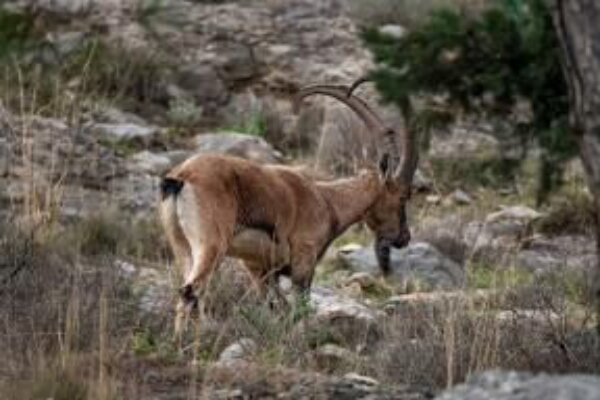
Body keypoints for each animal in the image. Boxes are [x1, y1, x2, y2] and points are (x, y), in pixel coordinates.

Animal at [162, 80, 420, 334]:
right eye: (403, 196)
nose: (404, 237)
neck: (327, 201)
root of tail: (182, 178)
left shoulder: (260, 270)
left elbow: (277, 308)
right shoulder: (303, 261)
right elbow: (299, 310)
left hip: (182, 246)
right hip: (211, 245)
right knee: (190, 291)